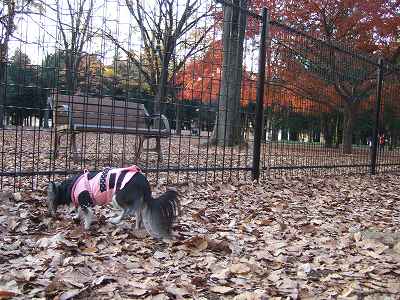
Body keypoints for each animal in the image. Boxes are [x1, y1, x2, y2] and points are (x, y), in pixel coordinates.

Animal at [46, 165, 179, 238]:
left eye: (50, 202)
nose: (51, 214)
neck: (71, 186)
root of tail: (144, 181)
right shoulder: (82, 203)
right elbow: (79, 209)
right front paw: (76, 217)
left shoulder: (85, 202)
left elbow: (87, 214)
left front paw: (86, 227)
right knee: (138, 212)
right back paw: (137, 227)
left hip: (117, 197)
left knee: (128, 211)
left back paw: (115, 220)